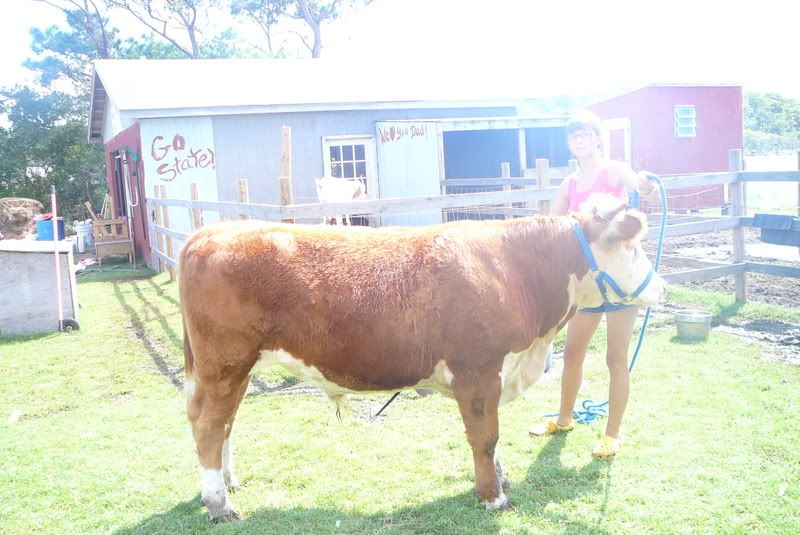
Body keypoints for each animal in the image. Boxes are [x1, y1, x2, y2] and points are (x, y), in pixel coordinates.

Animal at [179, 199, 665, 522]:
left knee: (224, 424)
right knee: (208, 425)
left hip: (235, 369)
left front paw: (501, 481)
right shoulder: (478, 373)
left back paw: (227, 484)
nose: (661, 288)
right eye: (633, 247)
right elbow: (485, 437)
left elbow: (492, 440)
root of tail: (211, 232)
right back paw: (219, 504)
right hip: (225, 363)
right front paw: (493, 497)